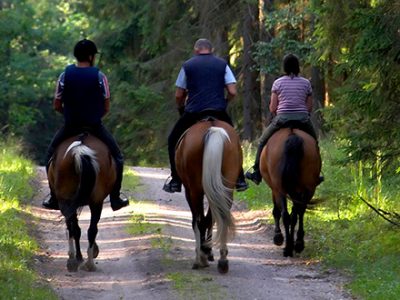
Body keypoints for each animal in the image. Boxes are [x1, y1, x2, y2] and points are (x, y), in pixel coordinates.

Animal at [47, 134, 116, 272]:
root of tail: (79, 151)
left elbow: (73, 227)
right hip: (96, 201)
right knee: (91, 229)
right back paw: (89, 263)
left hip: (66, 200)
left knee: (75, 228)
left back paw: (75, 259)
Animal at [260, 125, 322, 256]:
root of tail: (293, 136)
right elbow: (296, 213)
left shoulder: (274, 189)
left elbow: (276, 211)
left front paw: (278, 237)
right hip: (309, 187)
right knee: (298, 213)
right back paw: (297, 244)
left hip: (280, 189)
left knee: (286, 215)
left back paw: (287, 247)